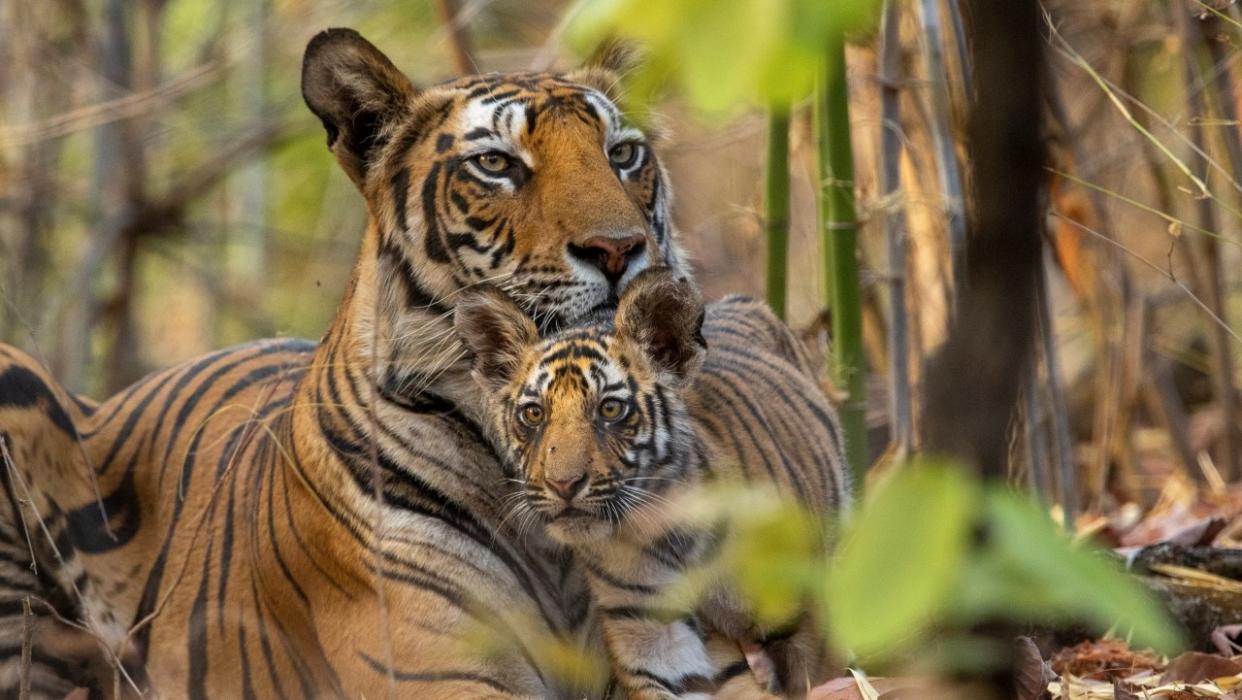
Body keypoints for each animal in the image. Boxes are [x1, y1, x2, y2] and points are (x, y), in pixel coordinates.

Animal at [457, 268, 854, 700]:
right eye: (533, 414)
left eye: (610, 408)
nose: (563, 484)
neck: (661, 529)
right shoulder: (649, 634)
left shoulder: (808, 616)